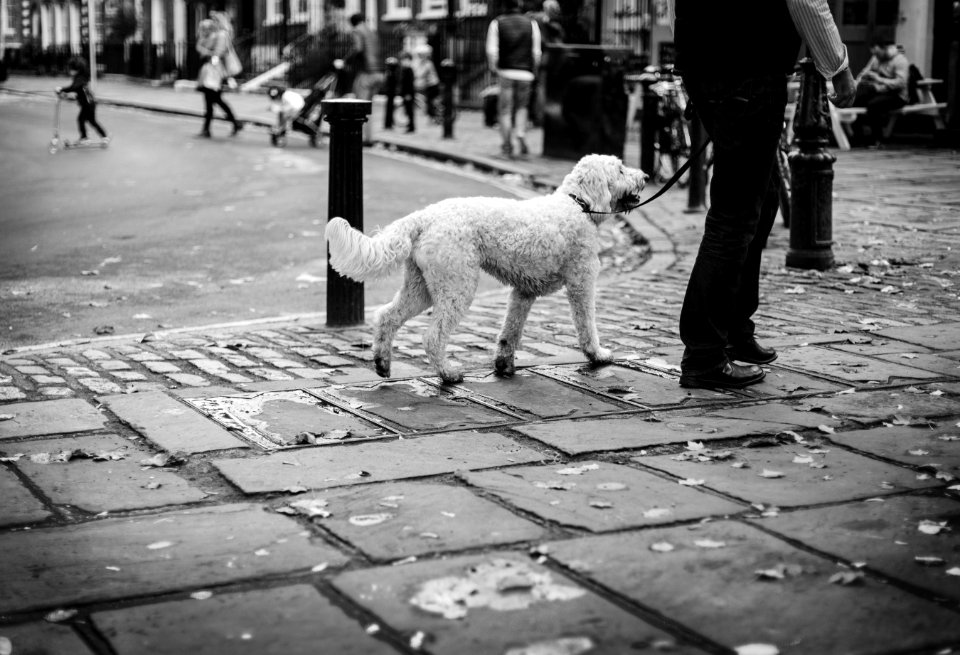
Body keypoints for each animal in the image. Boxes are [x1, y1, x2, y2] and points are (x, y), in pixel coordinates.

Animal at [326, 154, 648, 384]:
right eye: (620, 169)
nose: (645, 176)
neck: (578, 205)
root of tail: (424, 217)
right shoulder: (582, 282)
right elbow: (587, 325)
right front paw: (597, 355)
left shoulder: (523, 292)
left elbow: (510, 331)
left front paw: (504, 364)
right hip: (457, 285)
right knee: (433, 337)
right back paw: (448, 374)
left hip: (421, 286)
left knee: (386, 317)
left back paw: (382, 364)